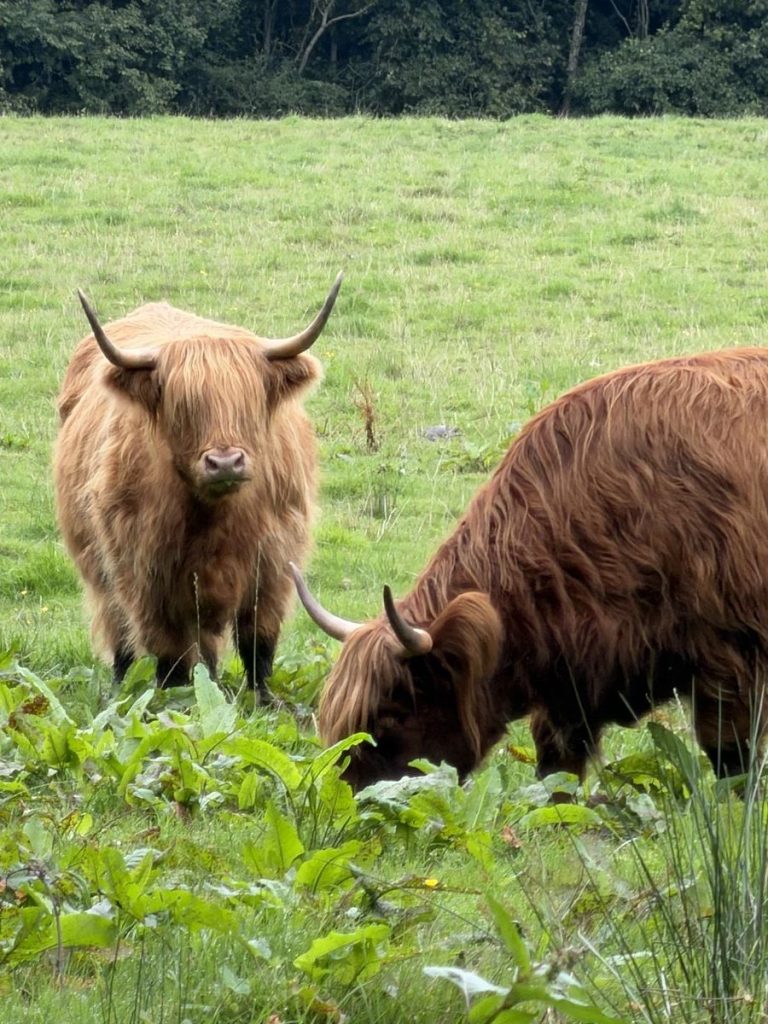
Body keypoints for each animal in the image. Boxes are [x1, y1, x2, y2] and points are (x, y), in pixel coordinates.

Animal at [54, 273, 342, 700]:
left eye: (248, 402)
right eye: (184, 406)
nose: (225, 462)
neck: (215, 518)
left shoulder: (274, 565)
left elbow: (258, 642)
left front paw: (264, 700)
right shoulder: (147, 577)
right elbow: (170, 655)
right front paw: (176, 700)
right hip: (101, 569)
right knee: (120, 631)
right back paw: (121, 687)